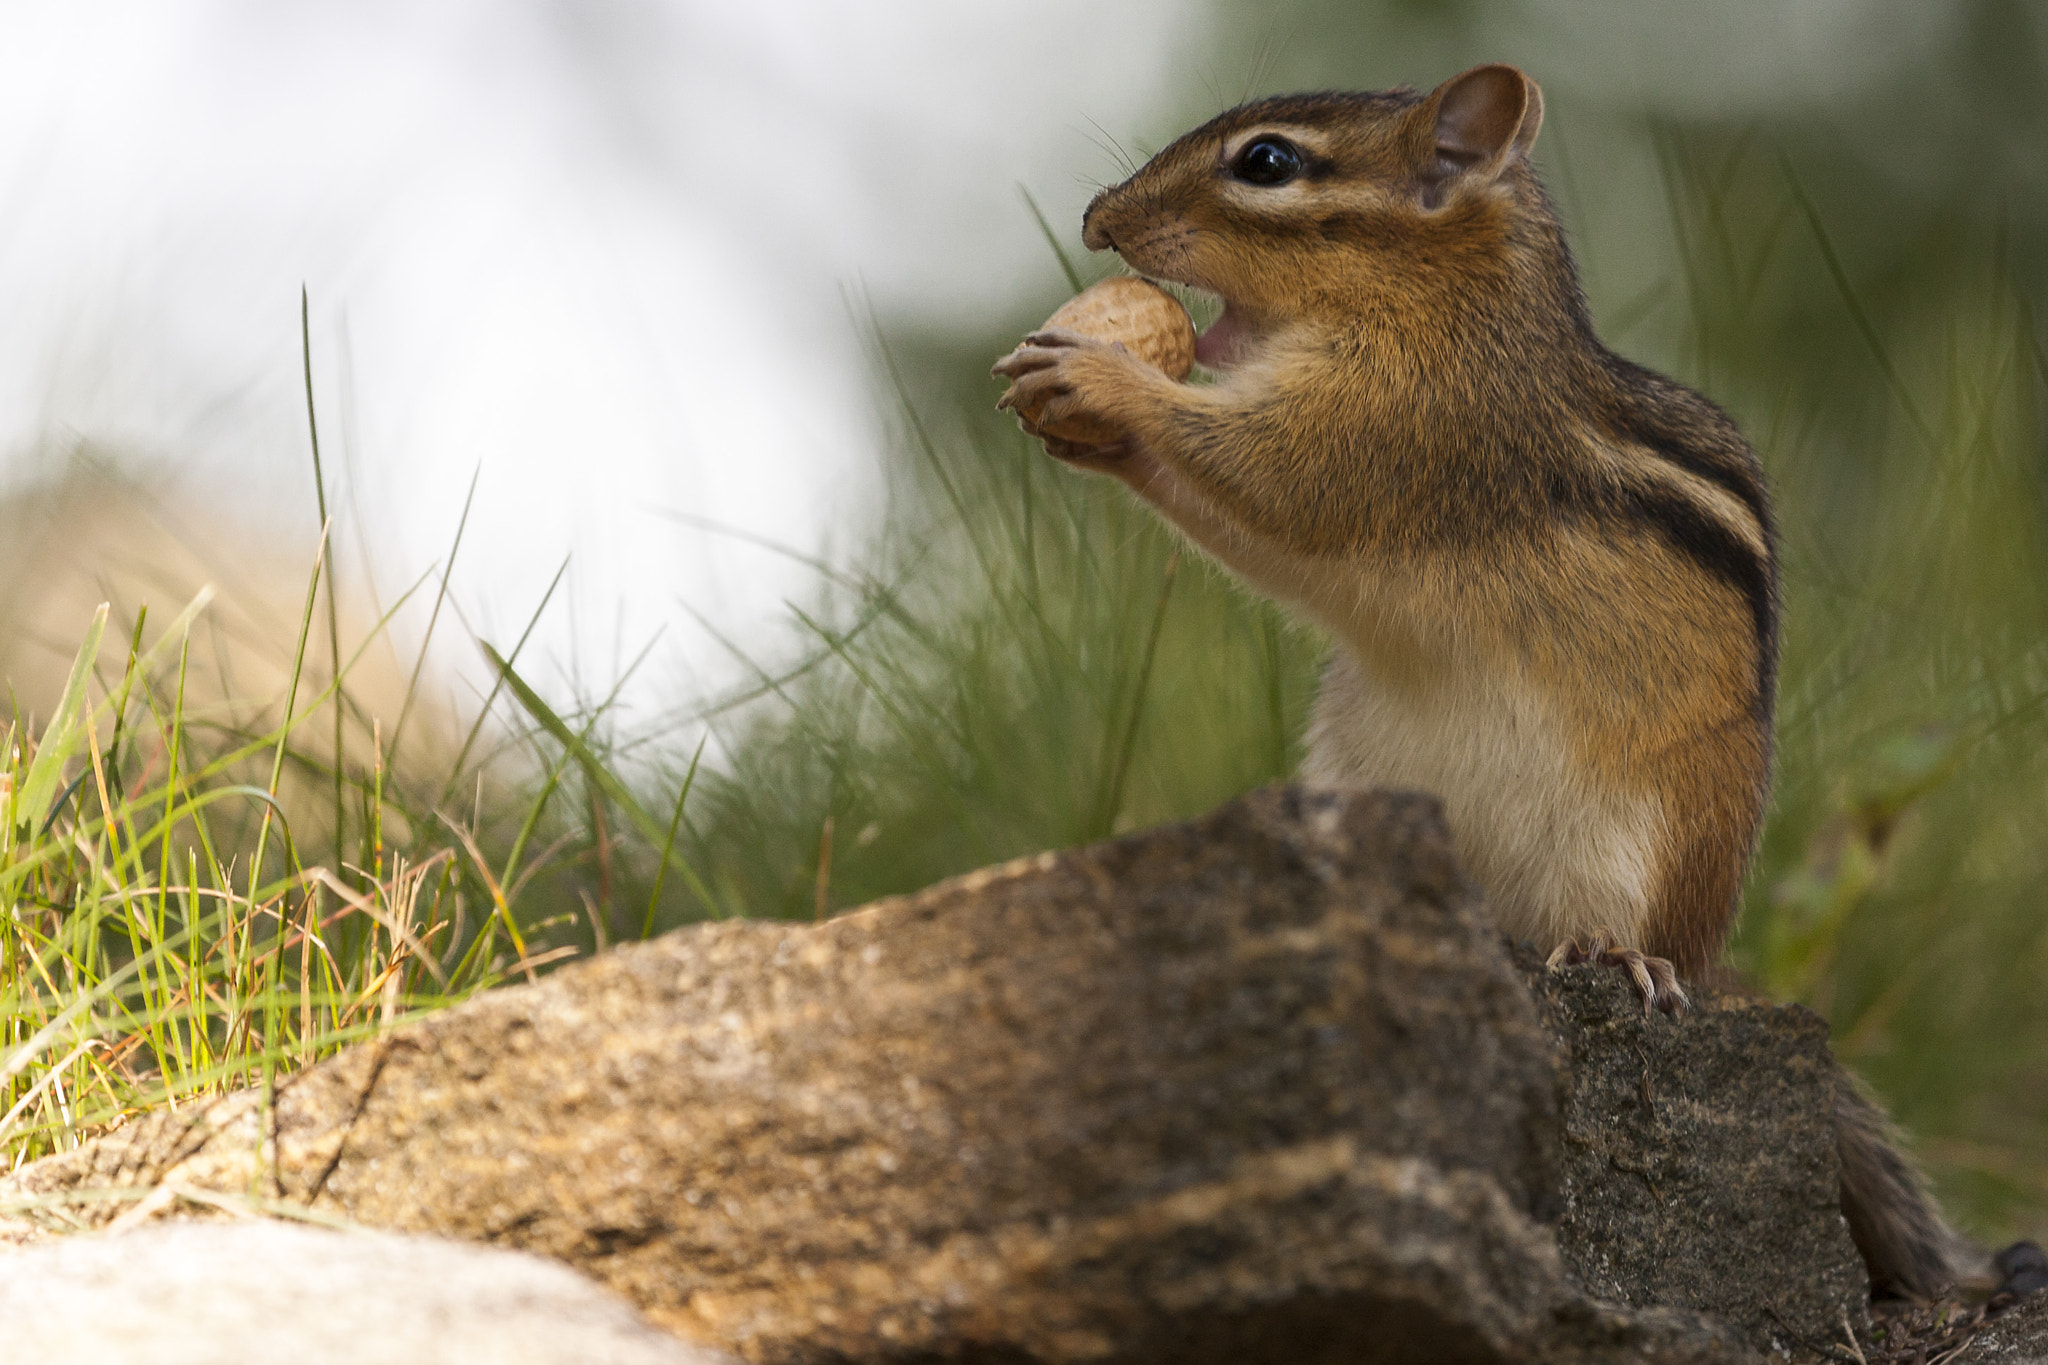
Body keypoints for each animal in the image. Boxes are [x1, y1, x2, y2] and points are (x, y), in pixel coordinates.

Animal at [993, 63, 1975, 1300]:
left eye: (1266, 162)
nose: (1094, 220)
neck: (1442, 303)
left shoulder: (1408, 426)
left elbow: (1273, 478)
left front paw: (1099, 378)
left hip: (1647, 836)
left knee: (1641, 935)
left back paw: (1620, 955)